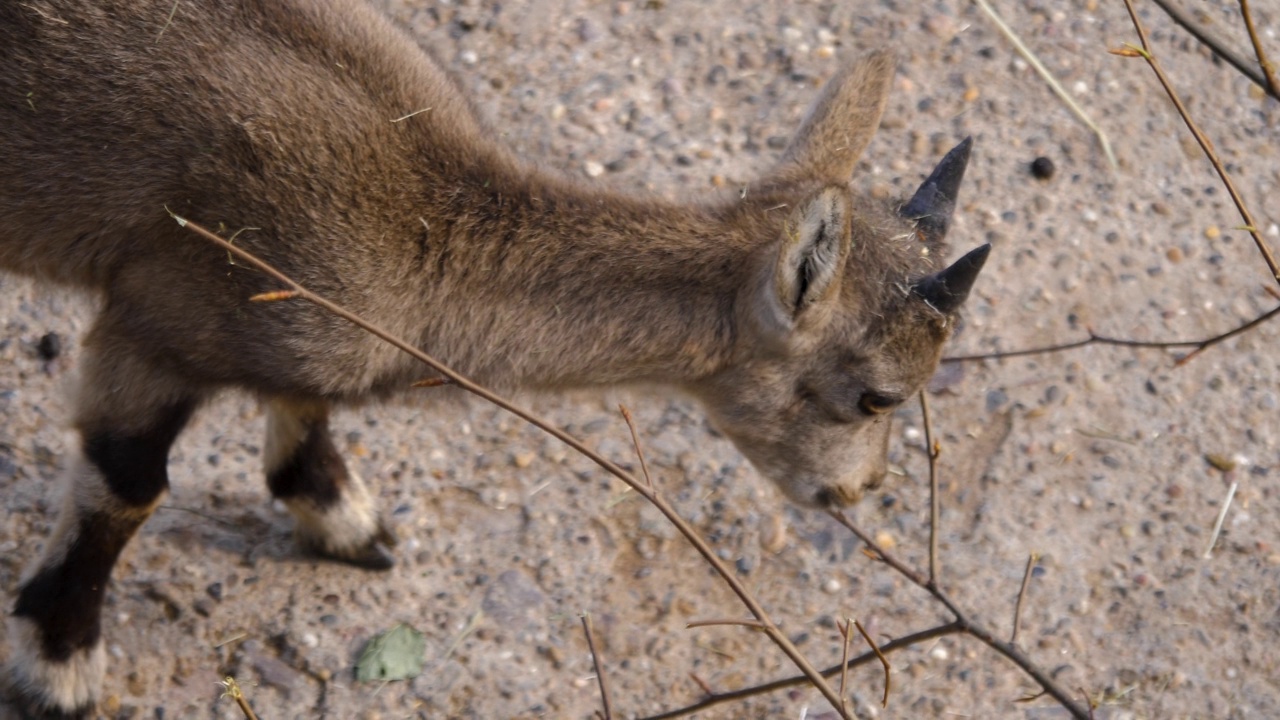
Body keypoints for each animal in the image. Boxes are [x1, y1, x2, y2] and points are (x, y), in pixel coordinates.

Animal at [0, 0, 988, 712]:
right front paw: (57, 668)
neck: (419, 226)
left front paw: (347, 523)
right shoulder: (154, 324)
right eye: (878, 396)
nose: (856, 491)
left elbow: (307, 405)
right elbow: (126, 487)